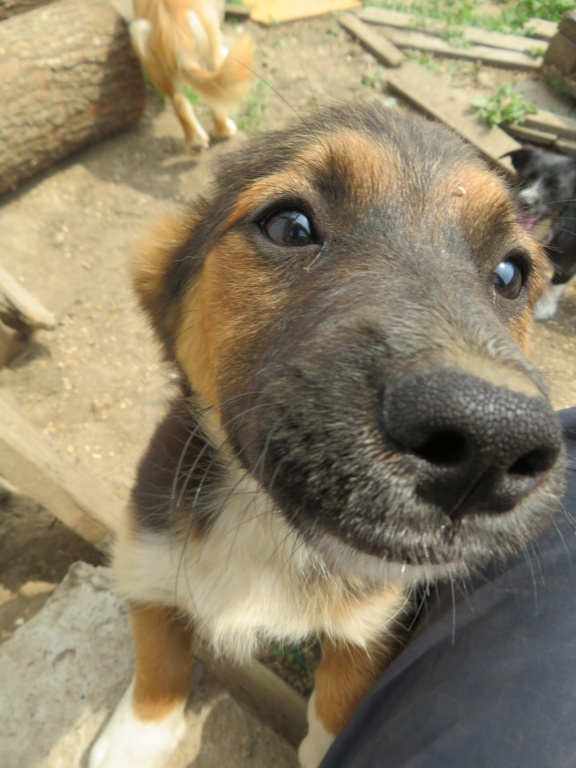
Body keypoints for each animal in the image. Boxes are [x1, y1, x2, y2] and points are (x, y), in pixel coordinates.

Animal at [89, 103, 564, 768]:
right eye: (289, 226)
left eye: (510, 274)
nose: (490, 441)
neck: (267, 529)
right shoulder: (148, 538)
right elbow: (157, 645)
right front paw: (137, 734)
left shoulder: (374, 621)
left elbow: (338, 700)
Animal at [130, 0, 252, 149]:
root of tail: (176, 35)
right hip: (210, 31)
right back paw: (224, 131)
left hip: (144, 45)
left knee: (178, 100)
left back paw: (196, 142)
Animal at [504, 147, 576, 318]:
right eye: (527, 176)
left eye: (556, 186)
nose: (525, 202)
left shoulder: (568, 264)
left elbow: (556, 284)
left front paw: (545, 306)